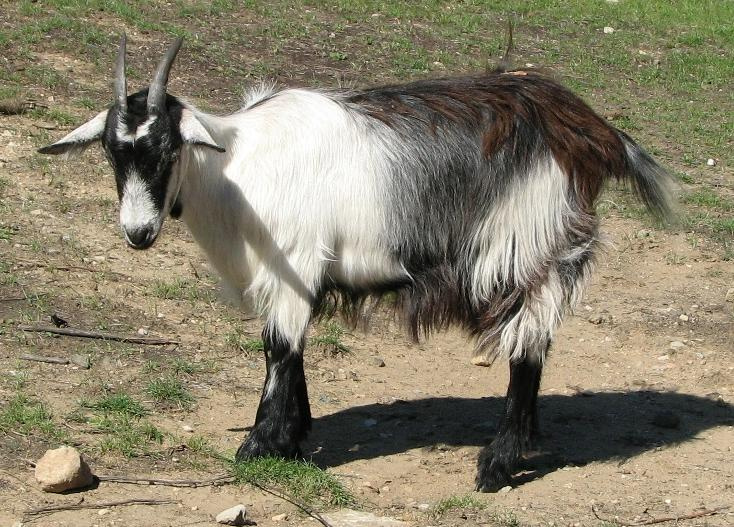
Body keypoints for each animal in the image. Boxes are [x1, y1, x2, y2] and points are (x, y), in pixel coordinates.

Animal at [39, 36, 674, 491]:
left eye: (168, 147)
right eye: (112, 150)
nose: (138, 232)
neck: (237, 165)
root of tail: (595, 132)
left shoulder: (293, 261)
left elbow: (279, 348)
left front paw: (260, 444)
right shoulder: (292, 275)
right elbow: (292, 352)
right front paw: (294, 439)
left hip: (527, 245)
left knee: (526, 347)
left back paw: (496, 465)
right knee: (535, 346)